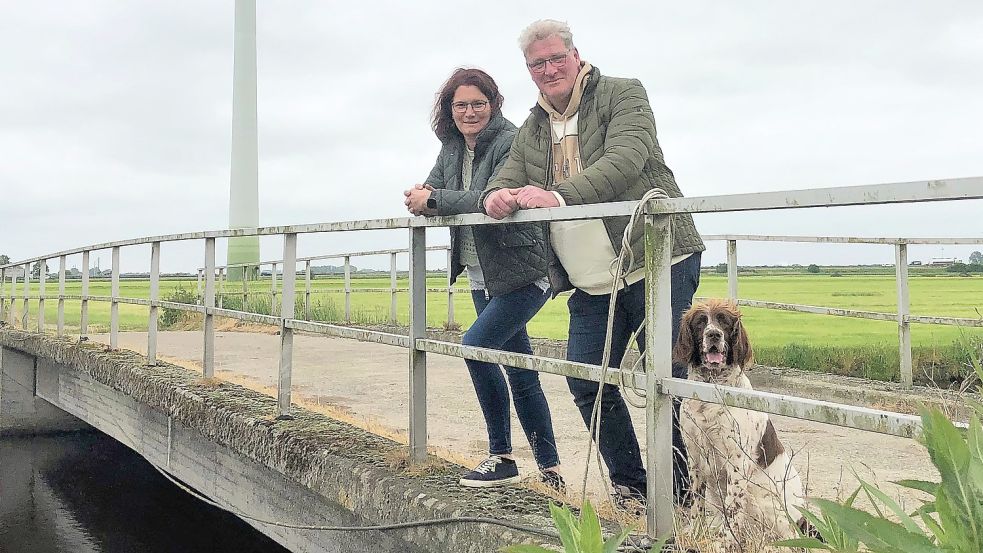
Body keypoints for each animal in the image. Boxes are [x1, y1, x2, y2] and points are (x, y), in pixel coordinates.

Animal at [676, 300, 808, 548]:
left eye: (724, 321)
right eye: (700, 322)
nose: (714, 335)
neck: (711, 390)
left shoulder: (737, 462)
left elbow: (733, 508)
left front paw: (724, 544)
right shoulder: (695, 456)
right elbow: (697, 500)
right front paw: (695, 534)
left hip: (766, 505)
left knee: (788, 538)